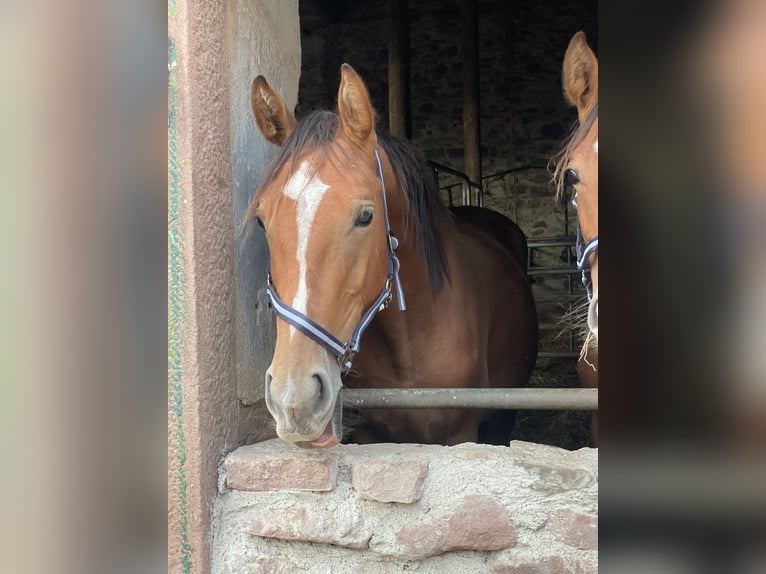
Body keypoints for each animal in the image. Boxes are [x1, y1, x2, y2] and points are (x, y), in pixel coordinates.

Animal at [249, 64, 536, 450]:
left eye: (365, 216)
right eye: (262, 220)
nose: (294, 400)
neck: (411, 344)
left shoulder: (461, 435)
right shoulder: (372, 434)